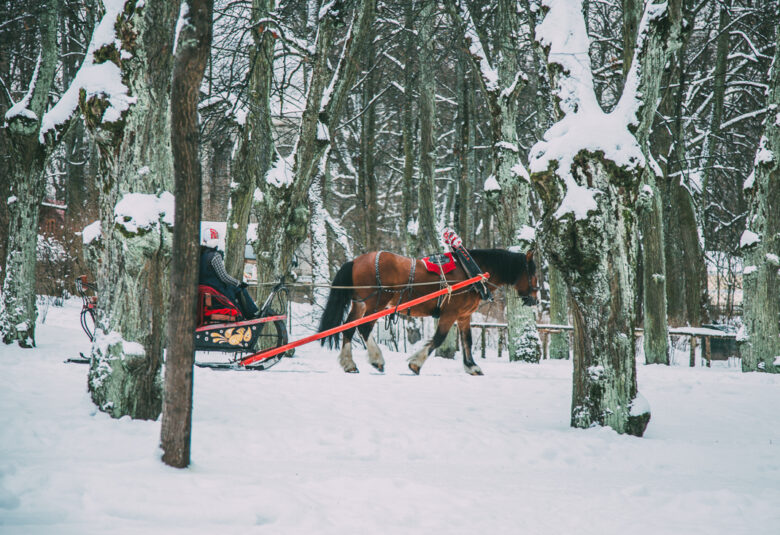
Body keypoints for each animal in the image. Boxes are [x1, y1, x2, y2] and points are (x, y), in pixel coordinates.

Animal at [316, 249, 536, 374]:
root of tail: (356, 261)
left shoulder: (464, 315)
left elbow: (467, 340)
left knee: (349, 328)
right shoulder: (450, 313)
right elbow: (438, 339)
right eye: (533, 273)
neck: (471, 272)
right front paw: (415, 364)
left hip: (361, 304)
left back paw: (349, 364)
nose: (534, 299)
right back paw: (377, 359)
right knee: (363, 328)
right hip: (376, 303)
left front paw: (472, 366)